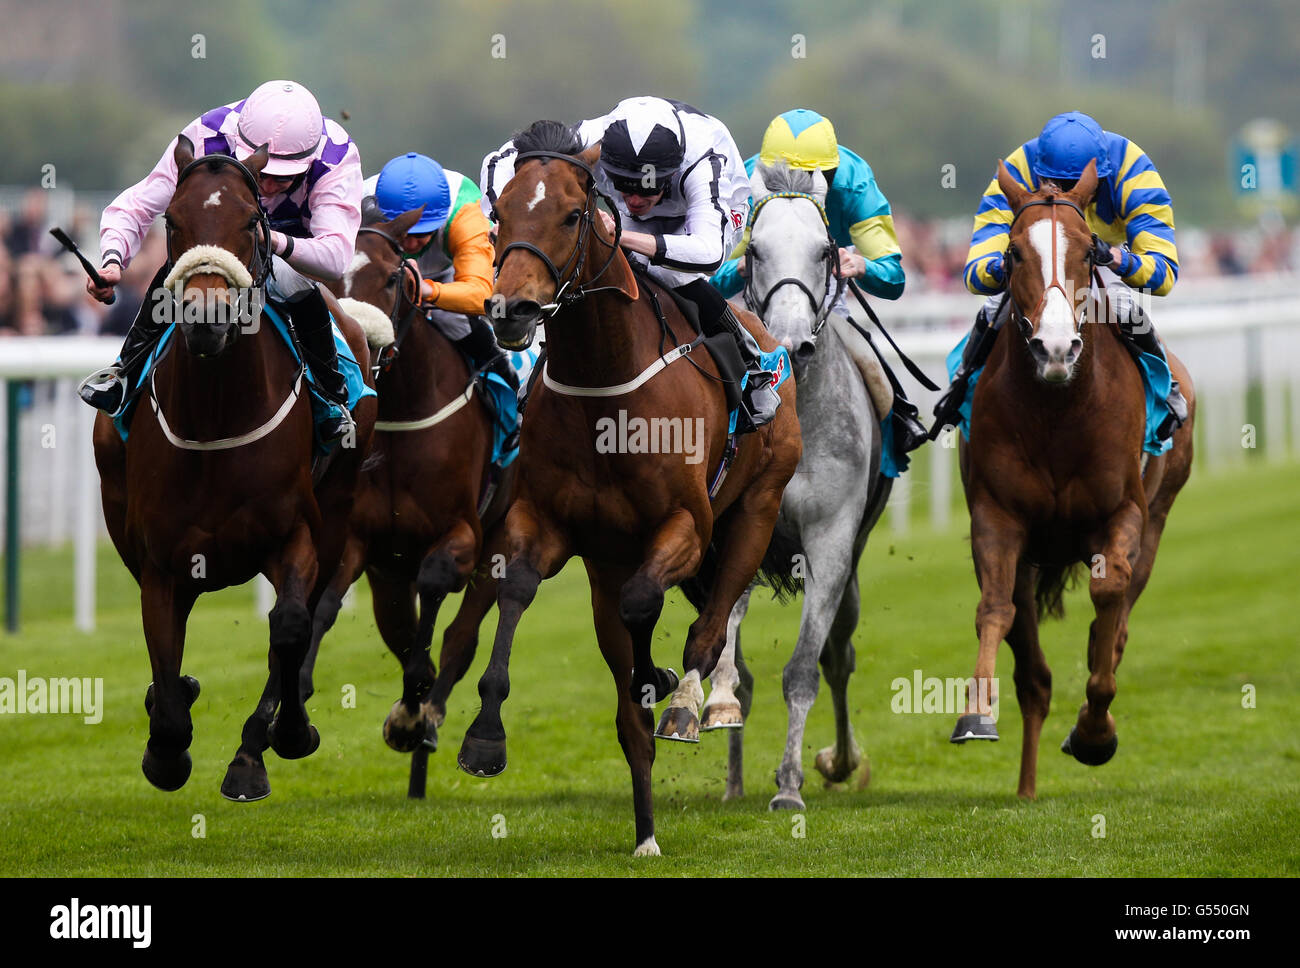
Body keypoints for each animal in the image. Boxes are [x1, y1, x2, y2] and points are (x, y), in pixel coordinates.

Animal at [89, 135, 377, 800]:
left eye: (251, 221)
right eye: (172, 221)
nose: (206, 319)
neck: (214, 420)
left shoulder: (296, 535)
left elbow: (291, 626)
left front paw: (284, 736)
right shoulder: (159, 560)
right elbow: (165, 658)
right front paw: (165, 748)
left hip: (338, 514)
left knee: (301, 624)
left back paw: (253, 752)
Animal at [309, 205, 517, 795]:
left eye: (390, 279)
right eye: (330, 283)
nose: (363, 343)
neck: (403, 413)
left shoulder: (462, 536)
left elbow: (436, 594)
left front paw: (414, 710)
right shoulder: (364, 542)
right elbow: (326, 606)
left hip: (500, 539)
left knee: (460, 638)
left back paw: (429, 718)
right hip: (388, 575)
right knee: (401, 627)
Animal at [457, 133, 800, 852]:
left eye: (570, 215)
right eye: (499, 212)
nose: (510, 309)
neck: (603, 387)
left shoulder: (687, 525)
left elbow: (649, 604)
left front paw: (660, 680)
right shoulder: (548, 524)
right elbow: (517, 588)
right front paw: (484, 736)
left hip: (754, 513)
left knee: (705, 631)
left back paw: (685, 705)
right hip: (606, 567)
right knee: (628, 710)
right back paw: (645, 829)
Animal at [956, 156, 1196, 795]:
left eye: (1090, 251)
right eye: (1013, 252)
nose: (1056, 349)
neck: (1058, 411)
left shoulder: (1123, 513)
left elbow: (1108, 602)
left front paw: (1094, 734)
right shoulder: (997, 516)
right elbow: (994, 609)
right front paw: (975, 714)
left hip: (1159, 518)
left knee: (1116, 623)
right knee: (1035, 675)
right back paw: (1026, 788)